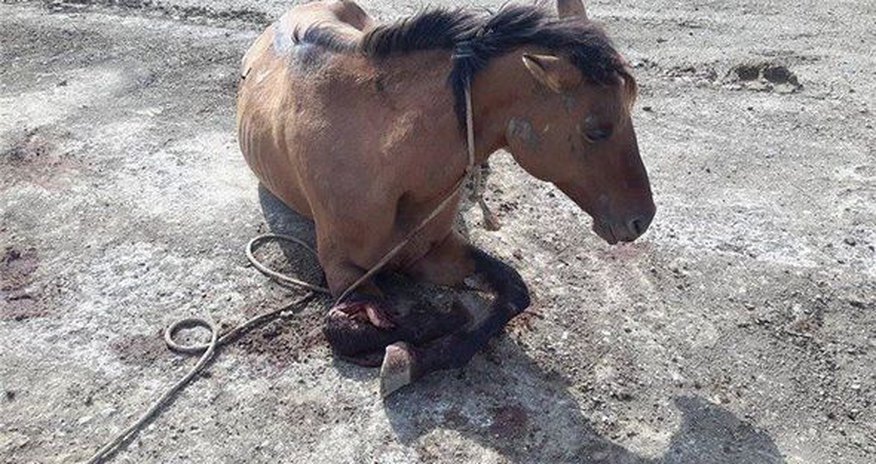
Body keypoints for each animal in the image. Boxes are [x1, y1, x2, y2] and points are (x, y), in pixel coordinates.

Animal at [236, 0, 655, 396]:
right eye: (596, 130)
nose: (642, 219)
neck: (381, 154)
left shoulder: (433, 250)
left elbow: (513, 289)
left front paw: (422, 355)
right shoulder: (344, 271)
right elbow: (349, 329)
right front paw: (427, 334)